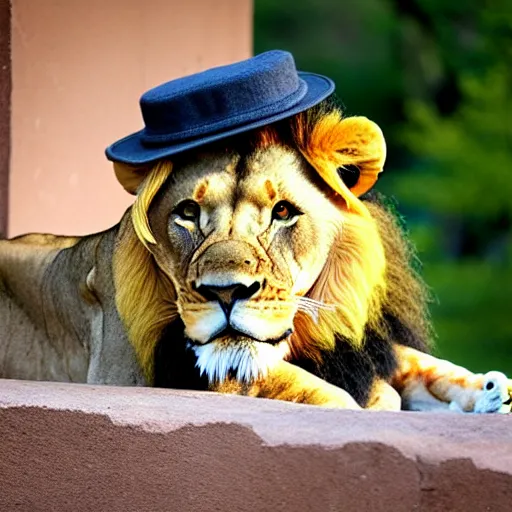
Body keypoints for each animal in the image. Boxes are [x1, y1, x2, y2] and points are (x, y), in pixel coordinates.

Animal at [1, 101, 512, 412]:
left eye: (282, 212)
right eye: (187, 213)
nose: (226, 292)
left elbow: (416, 363)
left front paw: (492, 390)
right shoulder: (127, 372)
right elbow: (302, 387)